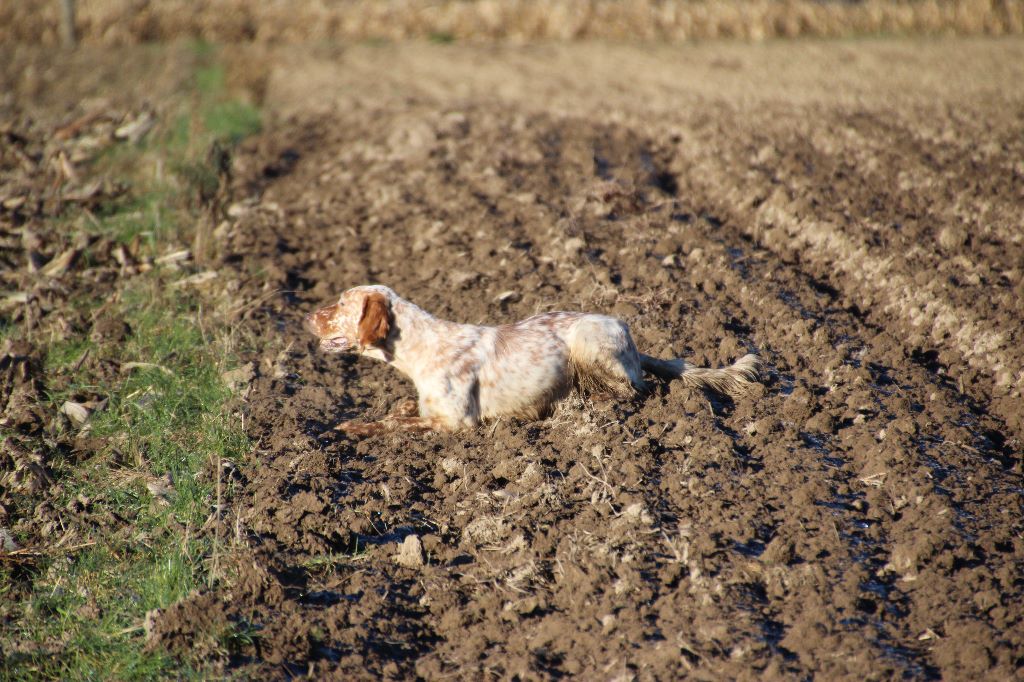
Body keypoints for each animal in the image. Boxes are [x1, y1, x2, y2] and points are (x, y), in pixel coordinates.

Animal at [303, 284, 761, 432]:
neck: (424, 347)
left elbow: (392, 424)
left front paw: (350, 428)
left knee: (635, 391)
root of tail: (628, 334)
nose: (307, 316)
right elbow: (399, 411)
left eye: (341, 303)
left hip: (586, 340)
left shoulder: (457, 422)